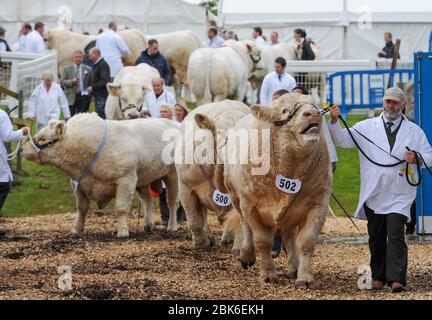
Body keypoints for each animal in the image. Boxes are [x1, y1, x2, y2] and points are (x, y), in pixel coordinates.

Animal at [21, 114, 180, 236]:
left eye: (42, 138)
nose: (22, 148)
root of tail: (175, 123)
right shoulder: (78, 184)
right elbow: (81, 208)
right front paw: (76, 229)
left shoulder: (126, 179)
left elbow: (121, 208)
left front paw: (123, 231)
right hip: (143, 178)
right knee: (147, 200)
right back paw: (148, 225)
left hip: (172, 175)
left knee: (172, 202)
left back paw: (172, 226)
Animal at [176, 100, 250, 250]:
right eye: (221, 133)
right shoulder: (186, 187)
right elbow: (194, 220)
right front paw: (201, 243)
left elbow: (240, 220)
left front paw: (238, 246)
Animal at [223, 93, 330, 288]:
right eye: (285, 110)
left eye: (314, 105)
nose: (312, 113)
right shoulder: (251, 206)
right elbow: (263, 241)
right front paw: (268, 274)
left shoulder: (318, 205)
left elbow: (306, 242)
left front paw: (305, 277)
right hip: (235, 195)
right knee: (245, 225)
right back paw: (246, 255)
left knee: (290, 236)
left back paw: (294, 266)